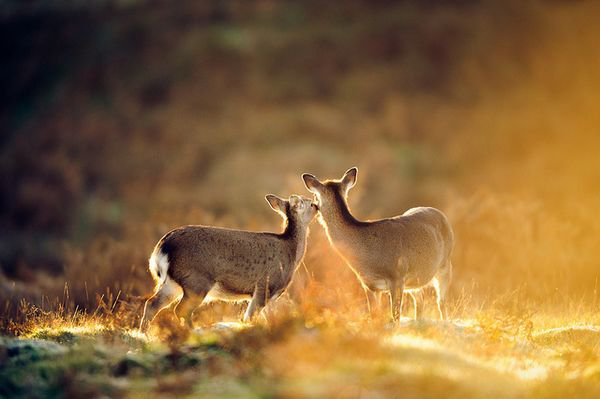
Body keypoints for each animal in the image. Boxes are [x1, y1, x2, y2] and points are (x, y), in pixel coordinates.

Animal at [140, 195, 318, 332]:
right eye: (310, 203)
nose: (317, 205)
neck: (291, 251)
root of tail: (162, 248)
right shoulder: (265, 286)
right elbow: (250, 317)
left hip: (171, 283)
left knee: (152, 304)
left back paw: (144, 334)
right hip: (196, 281)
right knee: (181, 310)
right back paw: (193, 332)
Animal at [302, 167, 452, 324]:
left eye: (314, 196)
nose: (313, 206)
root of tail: (441, 214)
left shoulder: (397, 276)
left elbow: (395, 315)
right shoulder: (369, 285)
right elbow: (374, 314)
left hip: (445, 265)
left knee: (441, 302)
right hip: (415, 280)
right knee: (420, 301)